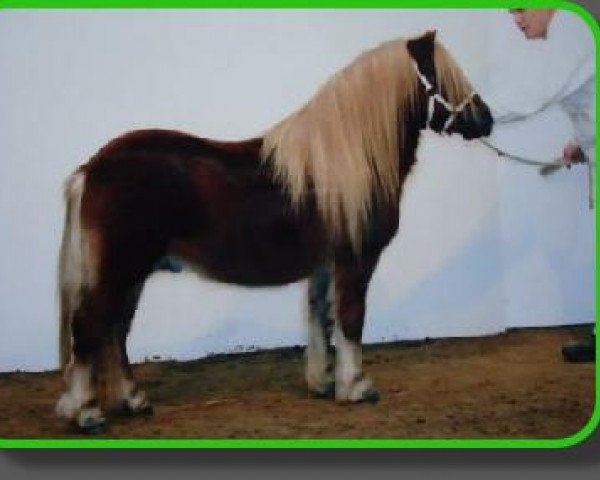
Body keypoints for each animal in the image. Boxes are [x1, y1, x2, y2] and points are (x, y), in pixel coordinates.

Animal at [56, 31, 492, 434]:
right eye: (444, 77)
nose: (486, 118)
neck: (347, 160)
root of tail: (92, 169)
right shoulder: (355, 260)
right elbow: (351, 319)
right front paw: (356, 386)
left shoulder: (325, 264)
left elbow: (321, 316)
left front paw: (322, 381)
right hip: (120, 270)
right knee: (90, 328)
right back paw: (87, 413)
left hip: (132, 275)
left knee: (114, 331)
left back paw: (134, 400)